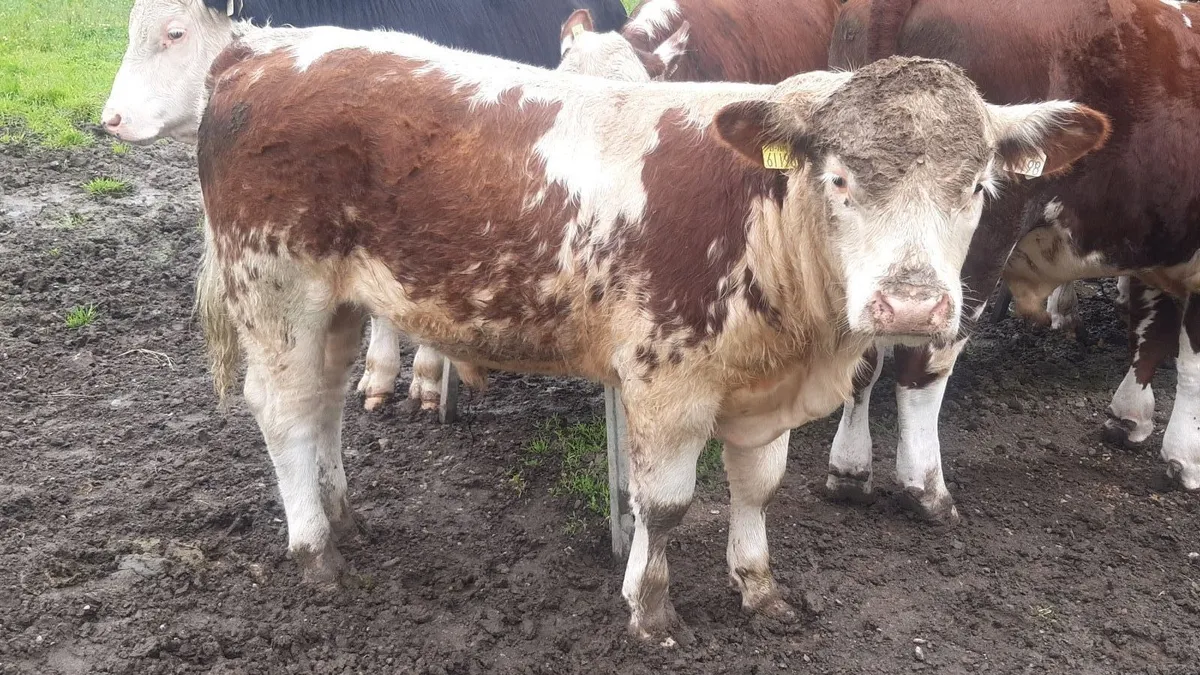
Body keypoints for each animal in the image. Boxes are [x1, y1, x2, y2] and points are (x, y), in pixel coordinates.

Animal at [192, 23, 1106, 640]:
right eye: (840, 179)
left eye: (977, 186)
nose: (912, 308)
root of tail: (265, 51)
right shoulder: (669, 378)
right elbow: (664, 504)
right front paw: (652, 607)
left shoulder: (759, 385)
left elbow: (758, 486)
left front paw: (759, 586)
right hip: (277, 291)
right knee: (285, 414)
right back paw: (316, 548)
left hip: (339, 304)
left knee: (324, 404)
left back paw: (343, 515)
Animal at [824, 0, 1200, 521]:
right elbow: (1191, 363)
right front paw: (1185, 458)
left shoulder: (1155, 242)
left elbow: (1150, 332)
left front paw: (1129, 418)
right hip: (968, 259)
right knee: (921, 367)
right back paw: (926, 489)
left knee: (862, 361)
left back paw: (849, 471)